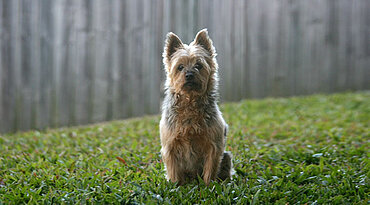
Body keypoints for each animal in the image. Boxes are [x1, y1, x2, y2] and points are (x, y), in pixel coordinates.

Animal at [159, 29, 231, 186]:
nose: (189, 74)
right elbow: (173, 170)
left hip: (227, 157)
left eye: (199, 65)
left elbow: (210, 167)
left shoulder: (213, 145)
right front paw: (176, 185)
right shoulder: (170, 146)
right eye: (180, 67)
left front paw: (209, 185)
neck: (190, 100)